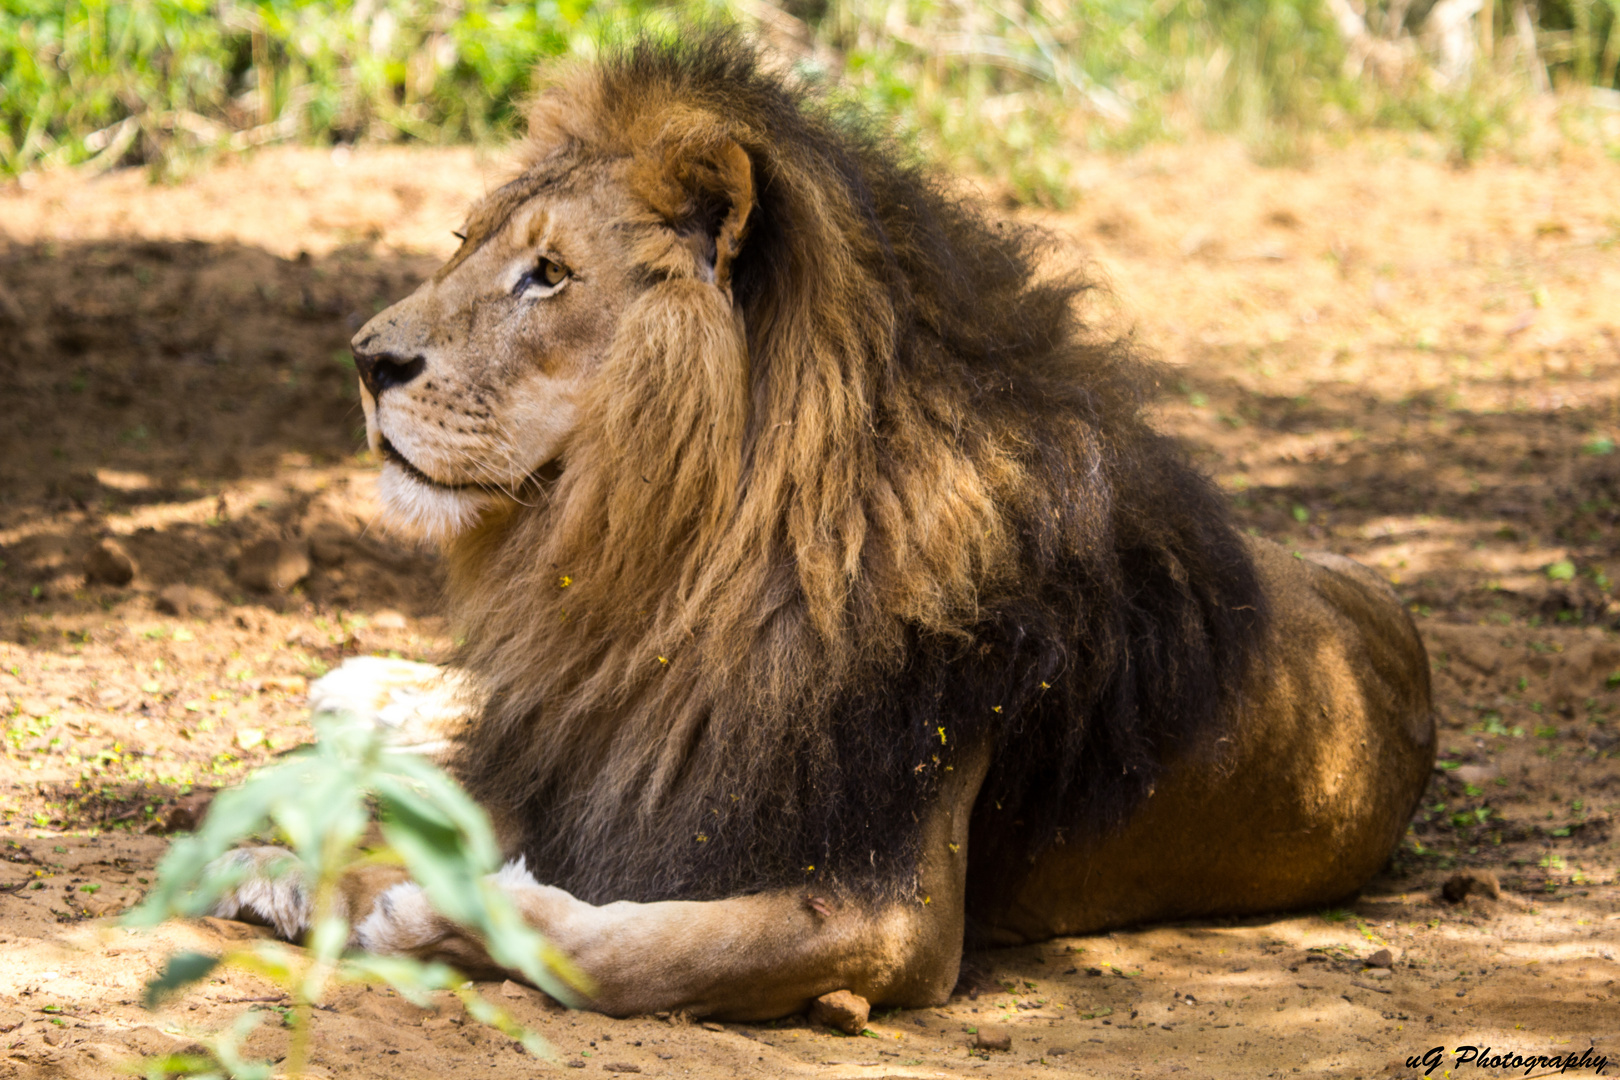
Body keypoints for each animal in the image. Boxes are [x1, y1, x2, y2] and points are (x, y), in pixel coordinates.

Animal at [212, 31, 1432, 1023]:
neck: (677, 567)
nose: (366, 361)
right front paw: (288, 863)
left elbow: (635, 951)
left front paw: (417, 909)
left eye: (548, 274)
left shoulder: (893, 912)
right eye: (465, 243)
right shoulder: (608, 742)